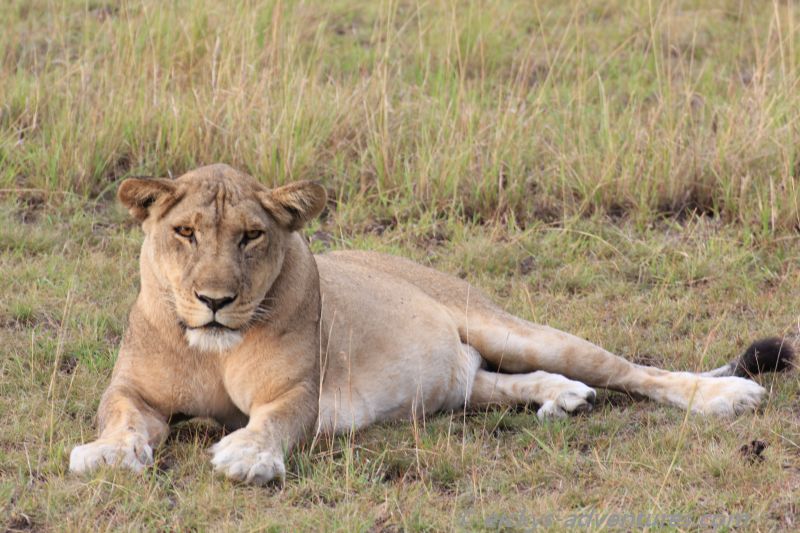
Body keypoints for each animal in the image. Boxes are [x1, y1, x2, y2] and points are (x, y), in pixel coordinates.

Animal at [69, 164, 794, 485]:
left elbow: (273, 420)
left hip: (512, 328)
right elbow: (121, 414)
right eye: (185, 232)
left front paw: (247, 453)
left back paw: (726, 395)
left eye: (251, 236)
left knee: (632, 370)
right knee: (500, 383)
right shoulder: (134, 389)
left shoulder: (300, 392)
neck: (211, 346)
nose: (215, 299)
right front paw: (107, 452)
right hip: (462, 380)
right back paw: (562, 397)